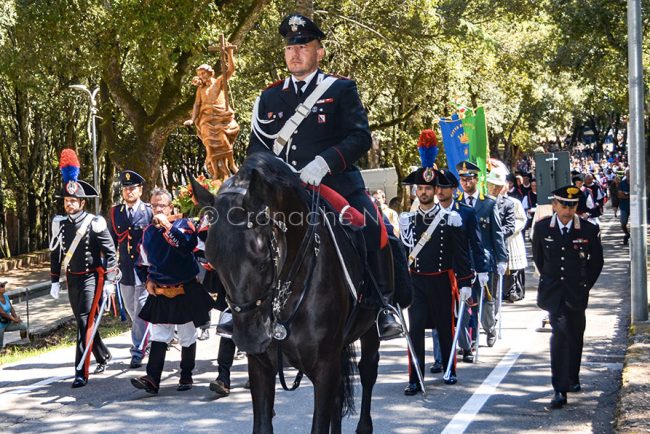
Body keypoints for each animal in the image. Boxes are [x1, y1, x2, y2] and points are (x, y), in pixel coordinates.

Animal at [190, 152, 388, 430]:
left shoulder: (324, 366)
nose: (250, 340)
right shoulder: (261, 366)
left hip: (369, 330)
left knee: (368, 370)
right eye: (211, 260)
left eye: (263, 259)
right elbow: (262, 424)